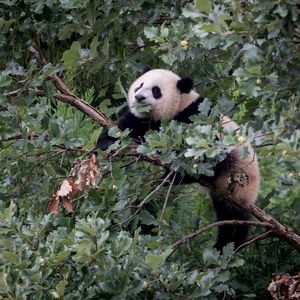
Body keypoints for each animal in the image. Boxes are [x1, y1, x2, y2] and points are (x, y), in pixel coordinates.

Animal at [97, 68, 258, 251]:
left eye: (156, 91)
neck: (181, 104)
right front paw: (106, 142)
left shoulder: (196, 117)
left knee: (233, 222)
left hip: (240, 181)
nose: (138, 97)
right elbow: (126, 127)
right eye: (140, 85)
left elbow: (203, 152)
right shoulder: (144, 120)